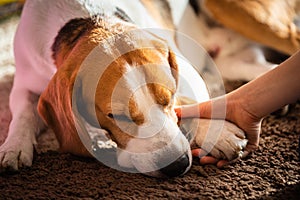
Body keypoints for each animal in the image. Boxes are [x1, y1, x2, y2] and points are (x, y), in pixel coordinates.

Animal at [0, 0, 247, 178]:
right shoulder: (23, 84)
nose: (177, 165)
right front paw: (14, 146)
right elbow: (23, 114)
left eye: (168, 98)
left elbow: (189, 103)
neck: (91, 17)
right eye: (118, 116)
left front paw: (216, 131)